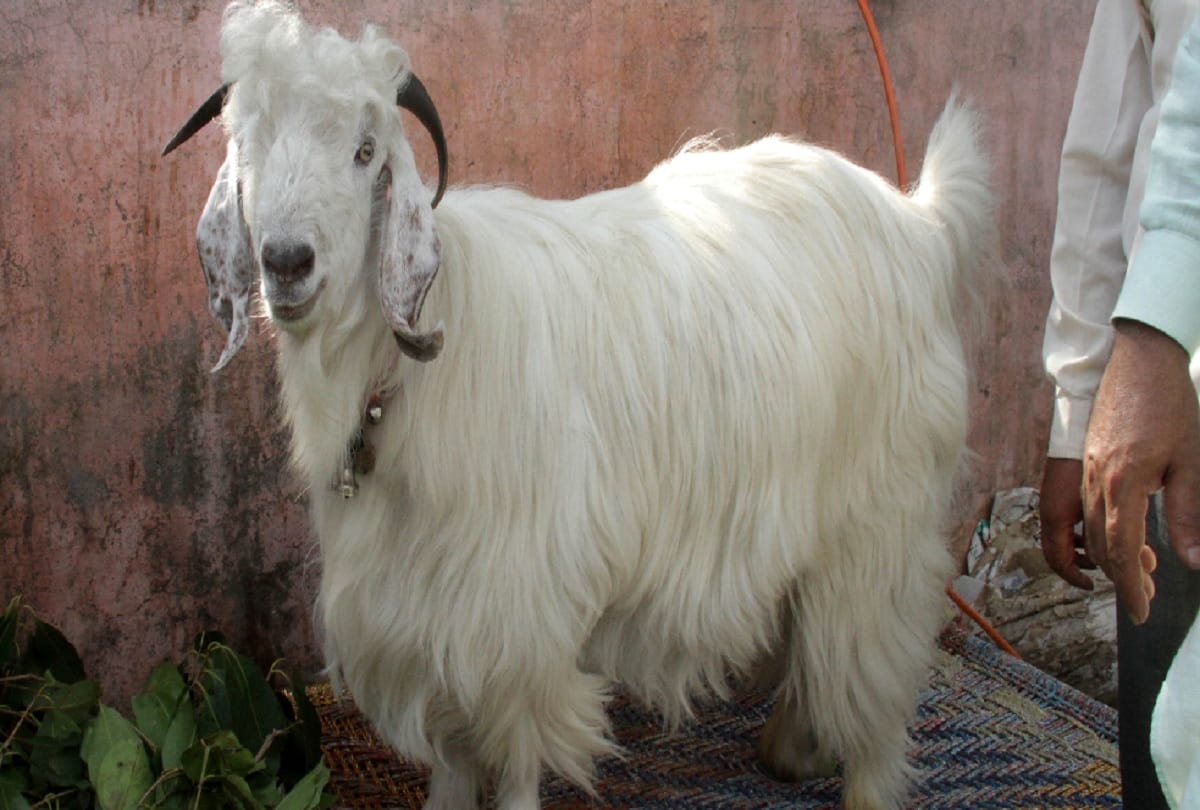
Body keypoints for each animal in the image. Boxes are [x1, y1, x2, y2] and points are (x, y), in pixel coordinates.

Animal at [164, 3, 992, 808]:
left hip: (879, 528)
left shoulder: (513, 618)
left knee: (873, 688)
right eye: (247, 146)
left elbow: (517, 764)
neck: (410, 362)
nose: (286, 262)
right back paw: (792, 746)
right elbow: (453, 761)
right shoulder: (421, 617)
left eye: (367, 152)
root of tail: (918, 221)